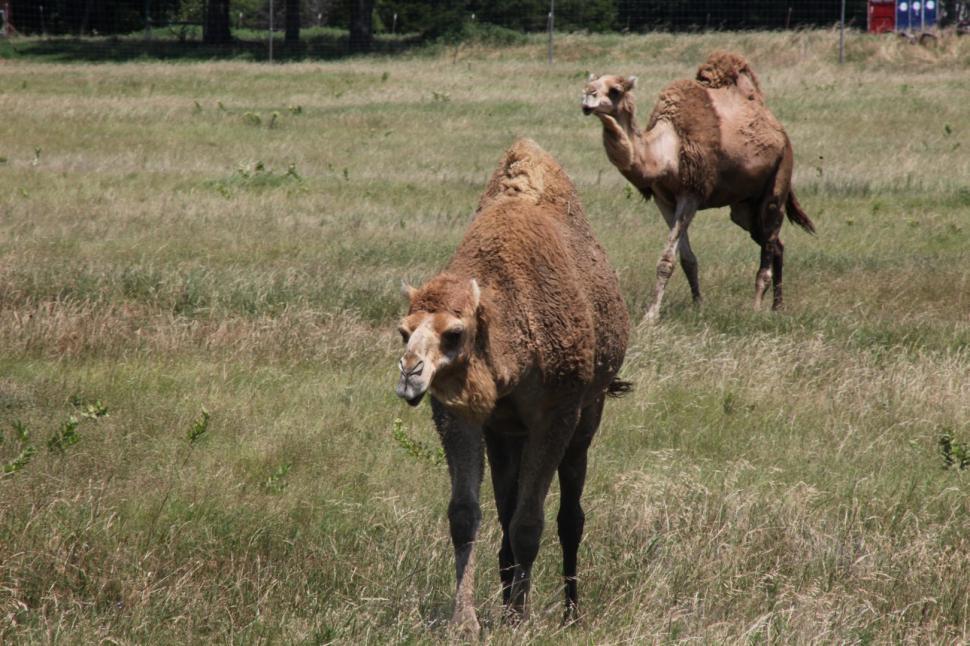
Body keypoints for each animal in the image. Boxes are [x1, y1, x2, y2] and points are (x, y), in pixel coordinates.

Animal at [394, 138, 630, 633]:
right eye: (404, 332)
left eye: (454, 333)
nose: (410, 374)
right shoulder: (461, 415)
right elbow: (466, 514)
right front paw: (465, 621)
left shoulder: (557, 413)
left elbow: (529, 522)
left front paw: (520, 617)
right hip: (506, 434)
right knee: (507, 506)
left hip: (589, 413)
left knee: (570, 515)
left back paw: (570, 612)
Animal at [582, 51, 816, 322]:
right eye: (592, 83)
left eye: (615, 90)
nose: (587, 96)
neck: (666, 151)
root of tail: (780, 132)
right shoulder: (664, 199)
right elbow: (686, 259)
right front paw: (698, 305)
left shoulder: (691, 193)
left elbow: (666, 259)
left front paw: (650, 316)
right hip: (744, 206)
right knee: (776, 242)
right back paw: (777, 306)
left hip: (778, 180)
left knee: (769, 242)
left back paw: (756, 307)